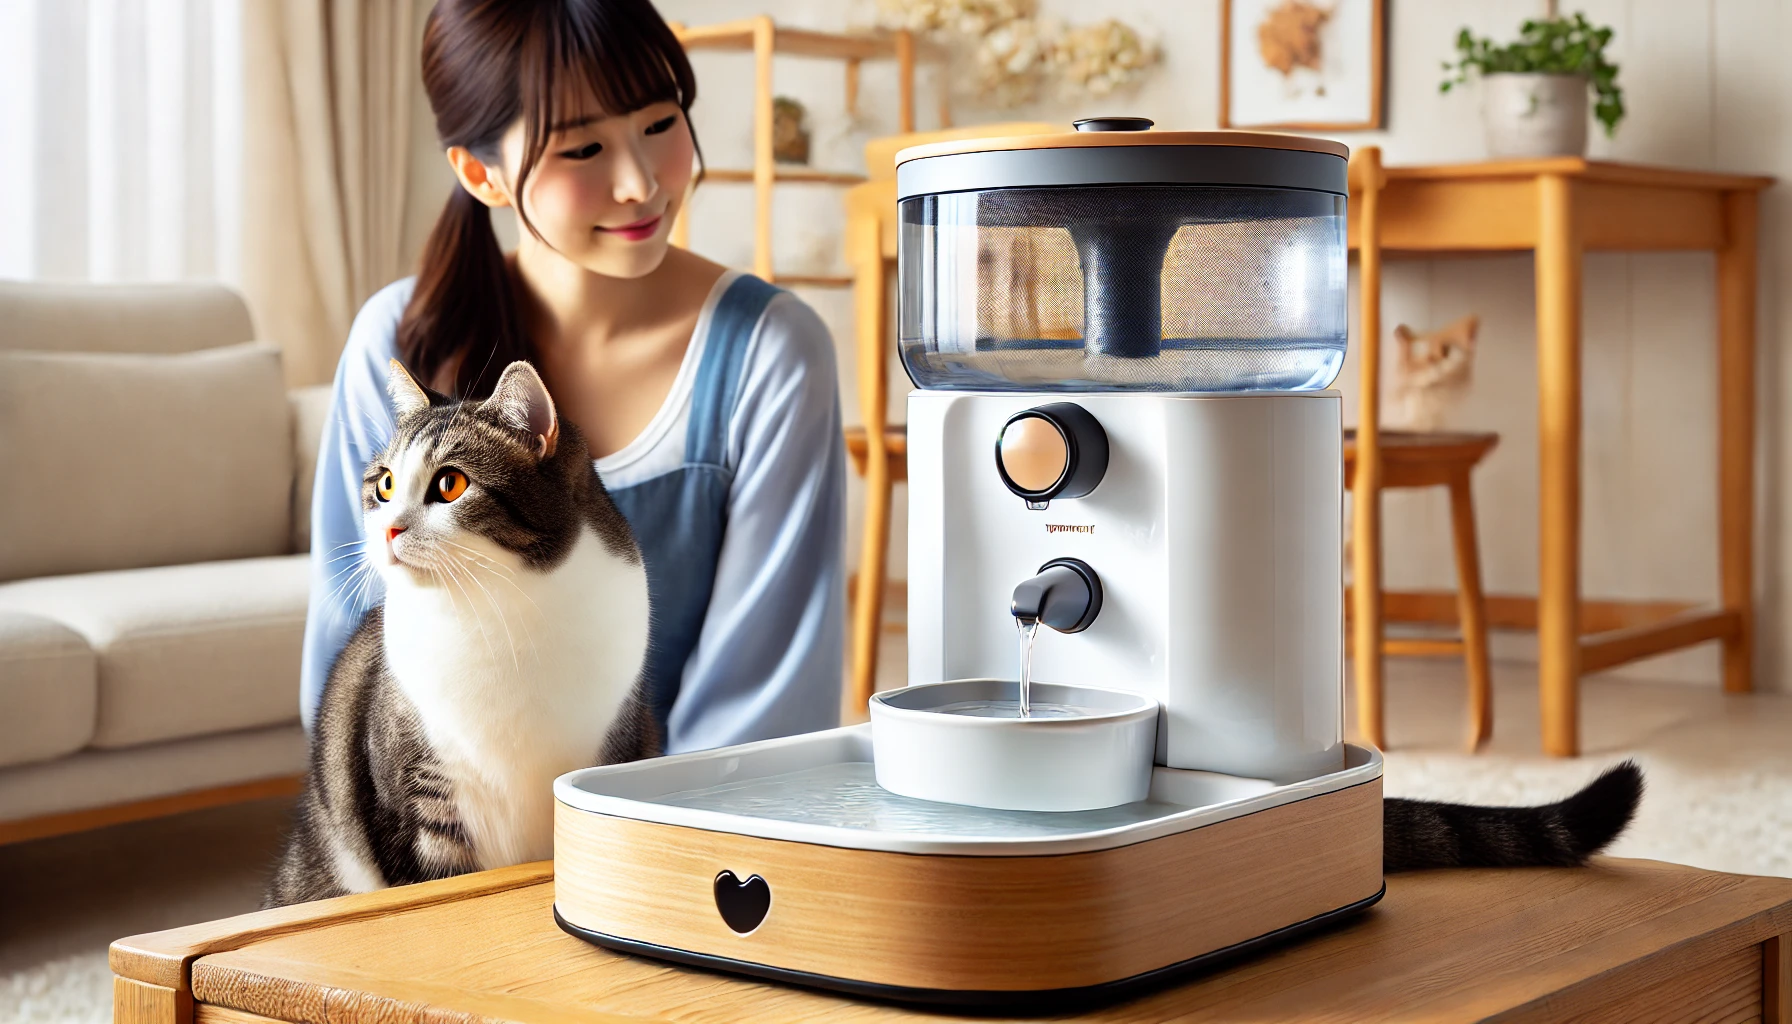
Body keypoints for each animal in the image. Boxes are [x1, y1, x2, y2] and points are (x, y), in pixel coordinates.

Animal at [261, 364, 655, 911]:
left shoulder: (617, 738)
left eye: (450, 484)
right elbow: (432, 881)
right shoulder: (416, 788)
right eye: (385, 484)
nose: (388, 530)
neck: (496, 609)